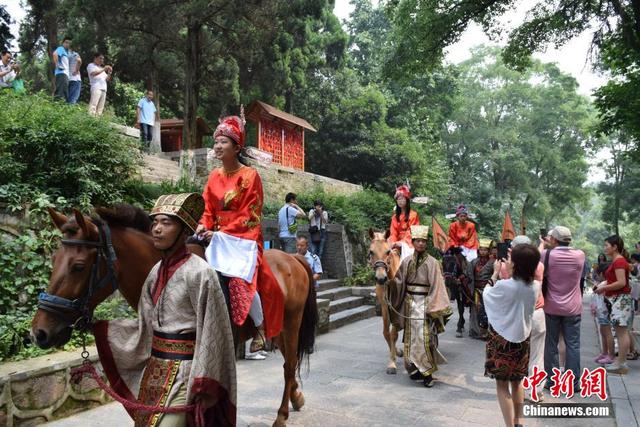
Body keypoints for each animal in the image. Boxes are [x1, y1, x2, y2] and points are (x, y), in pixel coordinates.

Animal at [31, 206, 318, 426]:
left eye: (78, 266)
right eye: (54, 260)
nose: (40, 332)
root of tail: (293, 258)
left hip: (291, 323)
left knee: (289, 365)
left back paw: (281, 415)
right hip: (278, 327)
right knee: (288, 363)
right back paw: (296, 397)